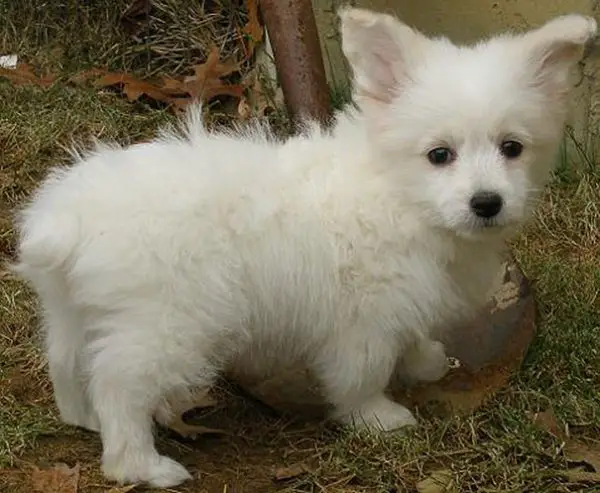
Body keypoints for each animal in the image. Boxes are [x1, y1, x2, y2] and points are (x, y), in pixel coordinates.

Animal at [12, 5, 596, 486]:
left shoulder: (400, 303)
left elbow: (410, 340)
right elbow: (361, 376)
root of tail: (67, 219)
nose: (487, 202)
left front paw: (425, 362)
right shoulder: (363, 321)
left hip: (73, 313)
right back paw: (141, 465)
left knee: (69, 365)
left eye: (512, 148)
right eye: (439, 155)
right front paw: (377, 419)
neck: (397, 195)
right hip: (164, 328)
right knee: (120, 386)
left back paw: (83, 418)